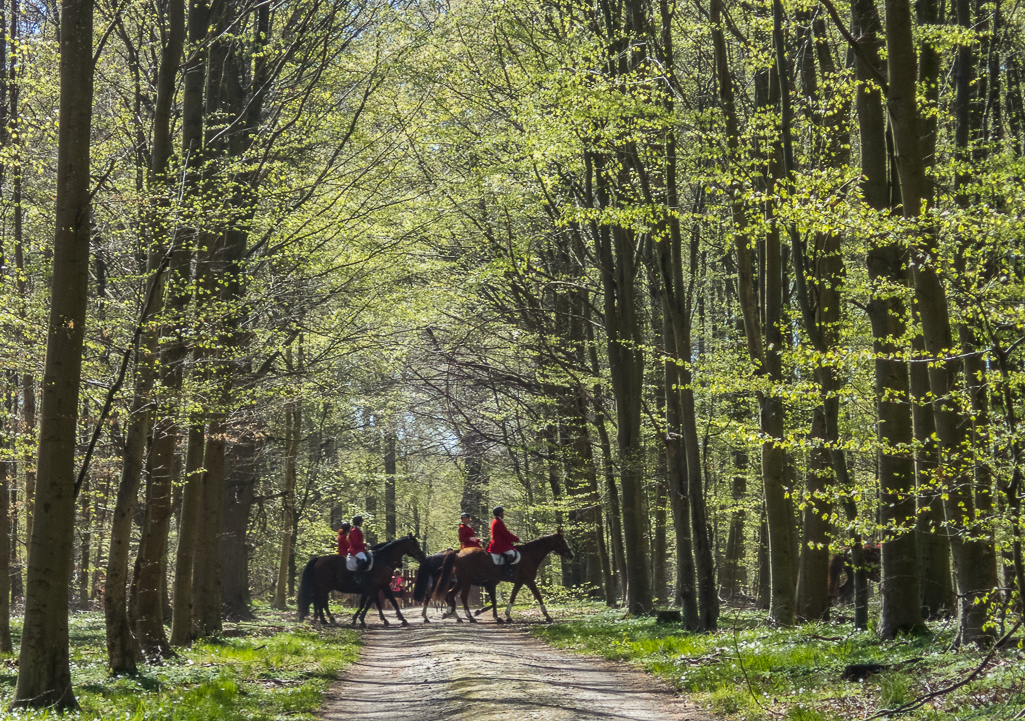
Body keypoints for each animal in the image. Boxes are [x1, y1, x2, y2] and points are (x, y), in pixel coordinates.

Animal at [432, 529, 578, 627]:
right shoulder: (529, 581)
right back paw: (468, 617)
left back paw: (453, 614)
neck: (529, 555)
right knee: (461, 597)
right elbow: (538, 596)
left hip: (462, 581)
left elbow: (512, 597)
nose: (571, 555)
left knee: (451, 594)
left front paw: (507, 616)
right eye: (562, 541)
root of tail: (458, 553)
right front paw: (548, 616)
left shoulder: (518, 582)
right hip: (466, 581)